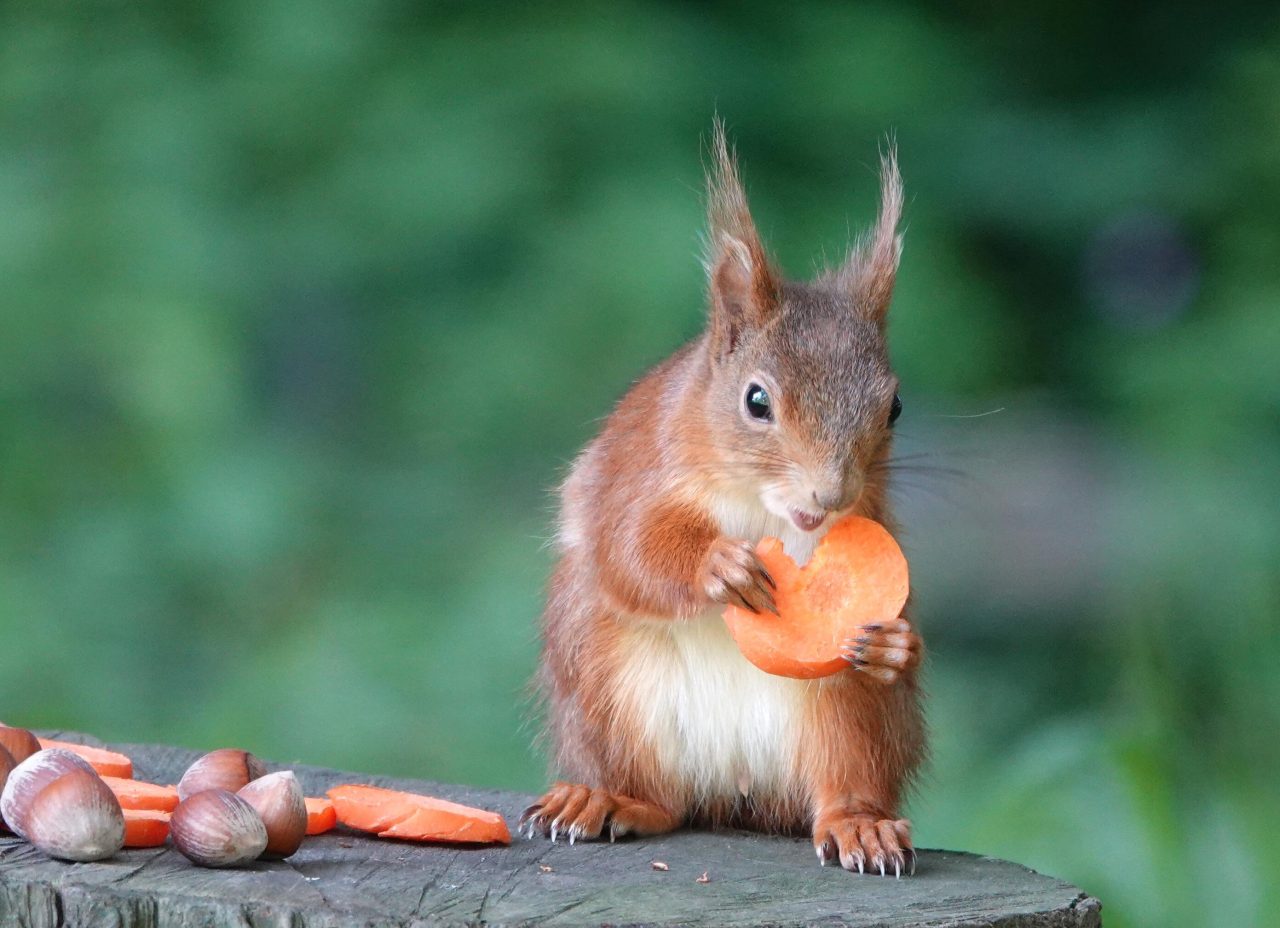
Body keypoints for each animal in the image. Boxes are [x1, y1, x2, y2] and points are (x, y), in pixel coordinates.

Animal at [519, 122, 921, 875]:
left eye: (895, 407)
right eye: (756, 401)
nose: (829, 493)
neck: (763, 508)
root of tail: (733, 794)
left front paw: (893, 645)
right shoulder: (637, 472)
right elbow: (629, 550)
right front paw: (719, 566)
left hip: (844, 719)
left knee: (844, 777)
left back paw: (861, 823)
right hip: (604, 678)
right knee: (659, 799)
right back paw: (606, 798)